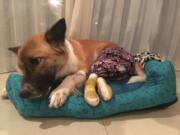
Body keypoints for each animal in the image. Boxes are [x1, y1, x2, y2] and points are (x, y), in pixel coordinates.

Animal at [1, 18, 146, 108]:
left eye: (37, 61)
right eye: (20, 68)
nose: (22, 95)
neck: (62, 65)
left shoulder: (81, 72)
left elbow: (69, 78)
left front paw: (59, 92)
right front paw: (5, 89)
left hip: (100, 61)